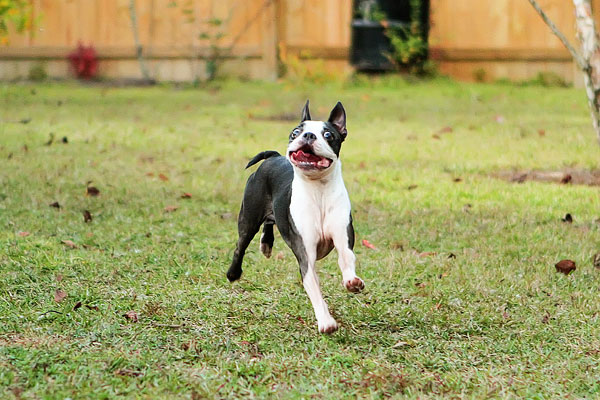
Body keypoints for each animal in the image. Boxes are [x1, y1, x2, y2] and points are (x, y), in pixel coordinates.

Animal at [226, 101, 364, 334]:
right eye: (295, 133)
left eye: (328, 134)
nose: (308, 135)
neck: (318, 189)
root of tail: (274, 157)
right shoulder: (305, 254)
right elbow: (315, 289)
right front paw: (326, 321)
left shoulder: (342, 236)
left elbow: (347, 259)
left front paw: (351, 281)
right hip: (248, 217)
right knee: (241, 245)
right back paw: (234, 273)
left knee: (270, 221)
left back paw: (266, 244)